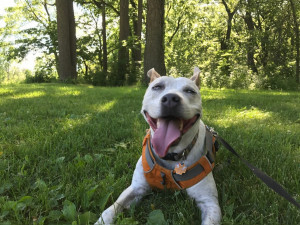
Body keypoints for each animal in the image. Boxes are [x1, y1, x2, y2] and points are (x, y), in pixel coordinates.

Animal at [95, 67, 221, 224]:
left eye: (190, 91)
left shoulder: (209, 202)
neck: (170, 155)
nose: (171, 99)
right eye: (157, 87)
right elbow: (112, 208)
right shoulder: (136, 188)